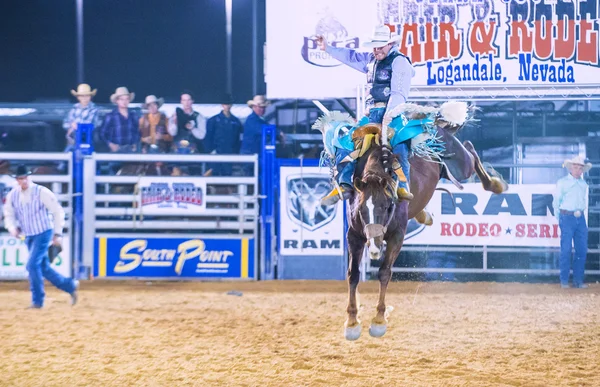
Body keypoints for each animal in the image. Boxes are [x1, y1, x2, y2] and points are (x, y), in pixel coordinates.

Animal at [342, 120, 506, 340]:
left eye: (386, 206)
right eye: (361, 209)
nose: (375, 248)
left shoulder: (397, 236)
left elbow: (384, 272)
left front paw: (379, 320)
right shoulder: (354, 235)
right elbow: (353, 274)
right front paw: (352, 322)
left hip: (461, 164)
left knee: (471, 150)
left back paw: (495, 184)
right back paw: (424, 215)